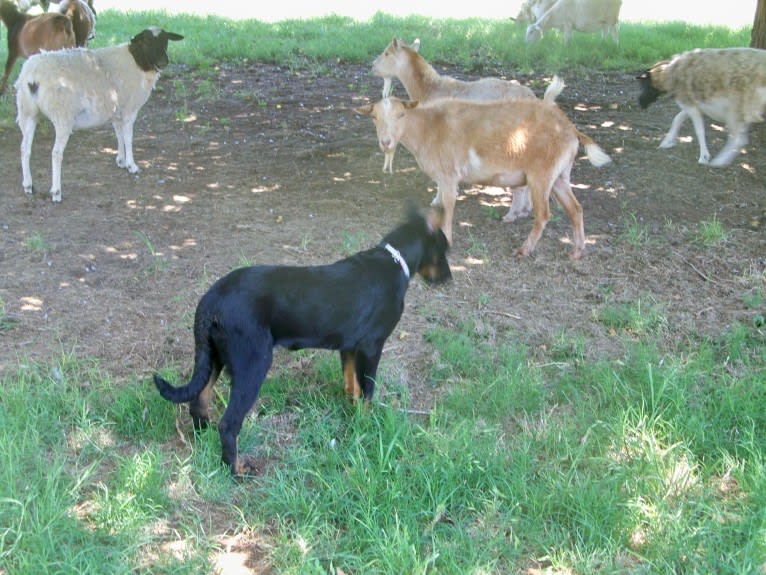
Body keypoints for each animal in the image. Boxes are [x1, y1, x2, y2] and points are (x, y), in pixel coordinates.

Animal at [15, 26, 184, 202]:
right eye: (147, 41)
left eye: (165, 40)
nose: (164, 61)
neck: (138, 61)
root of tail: (33, 76)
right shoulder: (129, 110)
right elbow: (128, 138)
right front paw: (132, 165)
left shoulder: (116, 110)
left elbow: (119, 135)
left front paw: (121, 160)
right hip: (62, 114)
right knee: (56, 154)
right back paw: (56, 192)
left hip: (28, 112)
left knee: (25, 148)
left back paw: (28, 185)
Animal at [155, 207, 452, 476]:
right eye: (444, 251)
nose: (449, 278)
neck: (395, 262)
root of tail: (210, 301)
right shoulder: (372, 346)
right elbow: (368, 389)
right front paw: (368, 426)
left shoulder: (349, 347)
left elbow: (352, 385)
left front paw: (353, 413)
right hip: (253, 363)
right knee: (229, 424)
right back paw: (236, 469)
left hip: (214, 357)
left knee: (198, 400)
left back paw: (202, 437)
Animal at [356, 98, 616, 260]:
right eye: (374, 117)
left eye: (401, 114)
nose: (386, 142)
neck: (428, 128)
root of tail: (571, 129)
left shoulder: (448, 176)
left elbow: (447, 209)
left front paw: (447, 241)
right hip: (560, 176)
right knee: (576, 209)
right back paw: (577, 251)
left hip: (541, 174)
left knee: (544, 214)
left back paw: (524, 250)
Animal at [636, 48, 766, 168]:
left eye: (644, 84)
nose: (640, 103)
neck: (670, 73)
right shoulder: (693, 104)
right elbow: (677, 118)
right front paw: (667, 142)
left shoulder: (689, 104)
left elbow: (699, 131)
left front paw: (704, 157)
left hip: (736, 107)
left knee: (739, 139)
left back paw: (719, 162)